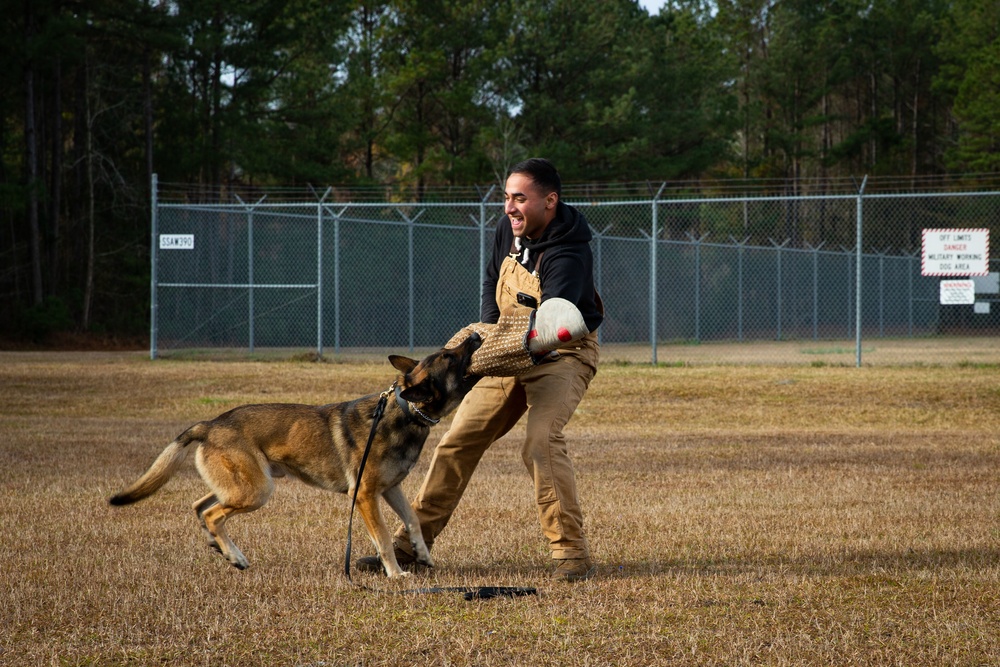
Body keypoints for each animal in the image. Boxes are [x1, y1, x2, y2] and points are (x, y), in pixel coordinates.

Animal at [107, 334, 482, 580]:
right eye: (449, 357)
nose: (476, 334)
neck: (404, 411)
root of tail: (211, 423)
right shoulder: (364, 495)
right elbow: (385, 538)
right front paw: (396, 574)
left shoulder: (390, 489)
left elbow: (414, 520)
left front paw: (422, 553)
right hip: (257, 489)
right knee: (213, 514)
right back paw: (235, 556)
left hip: (242, 483)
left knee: (199, 506)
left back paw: (221, 548)